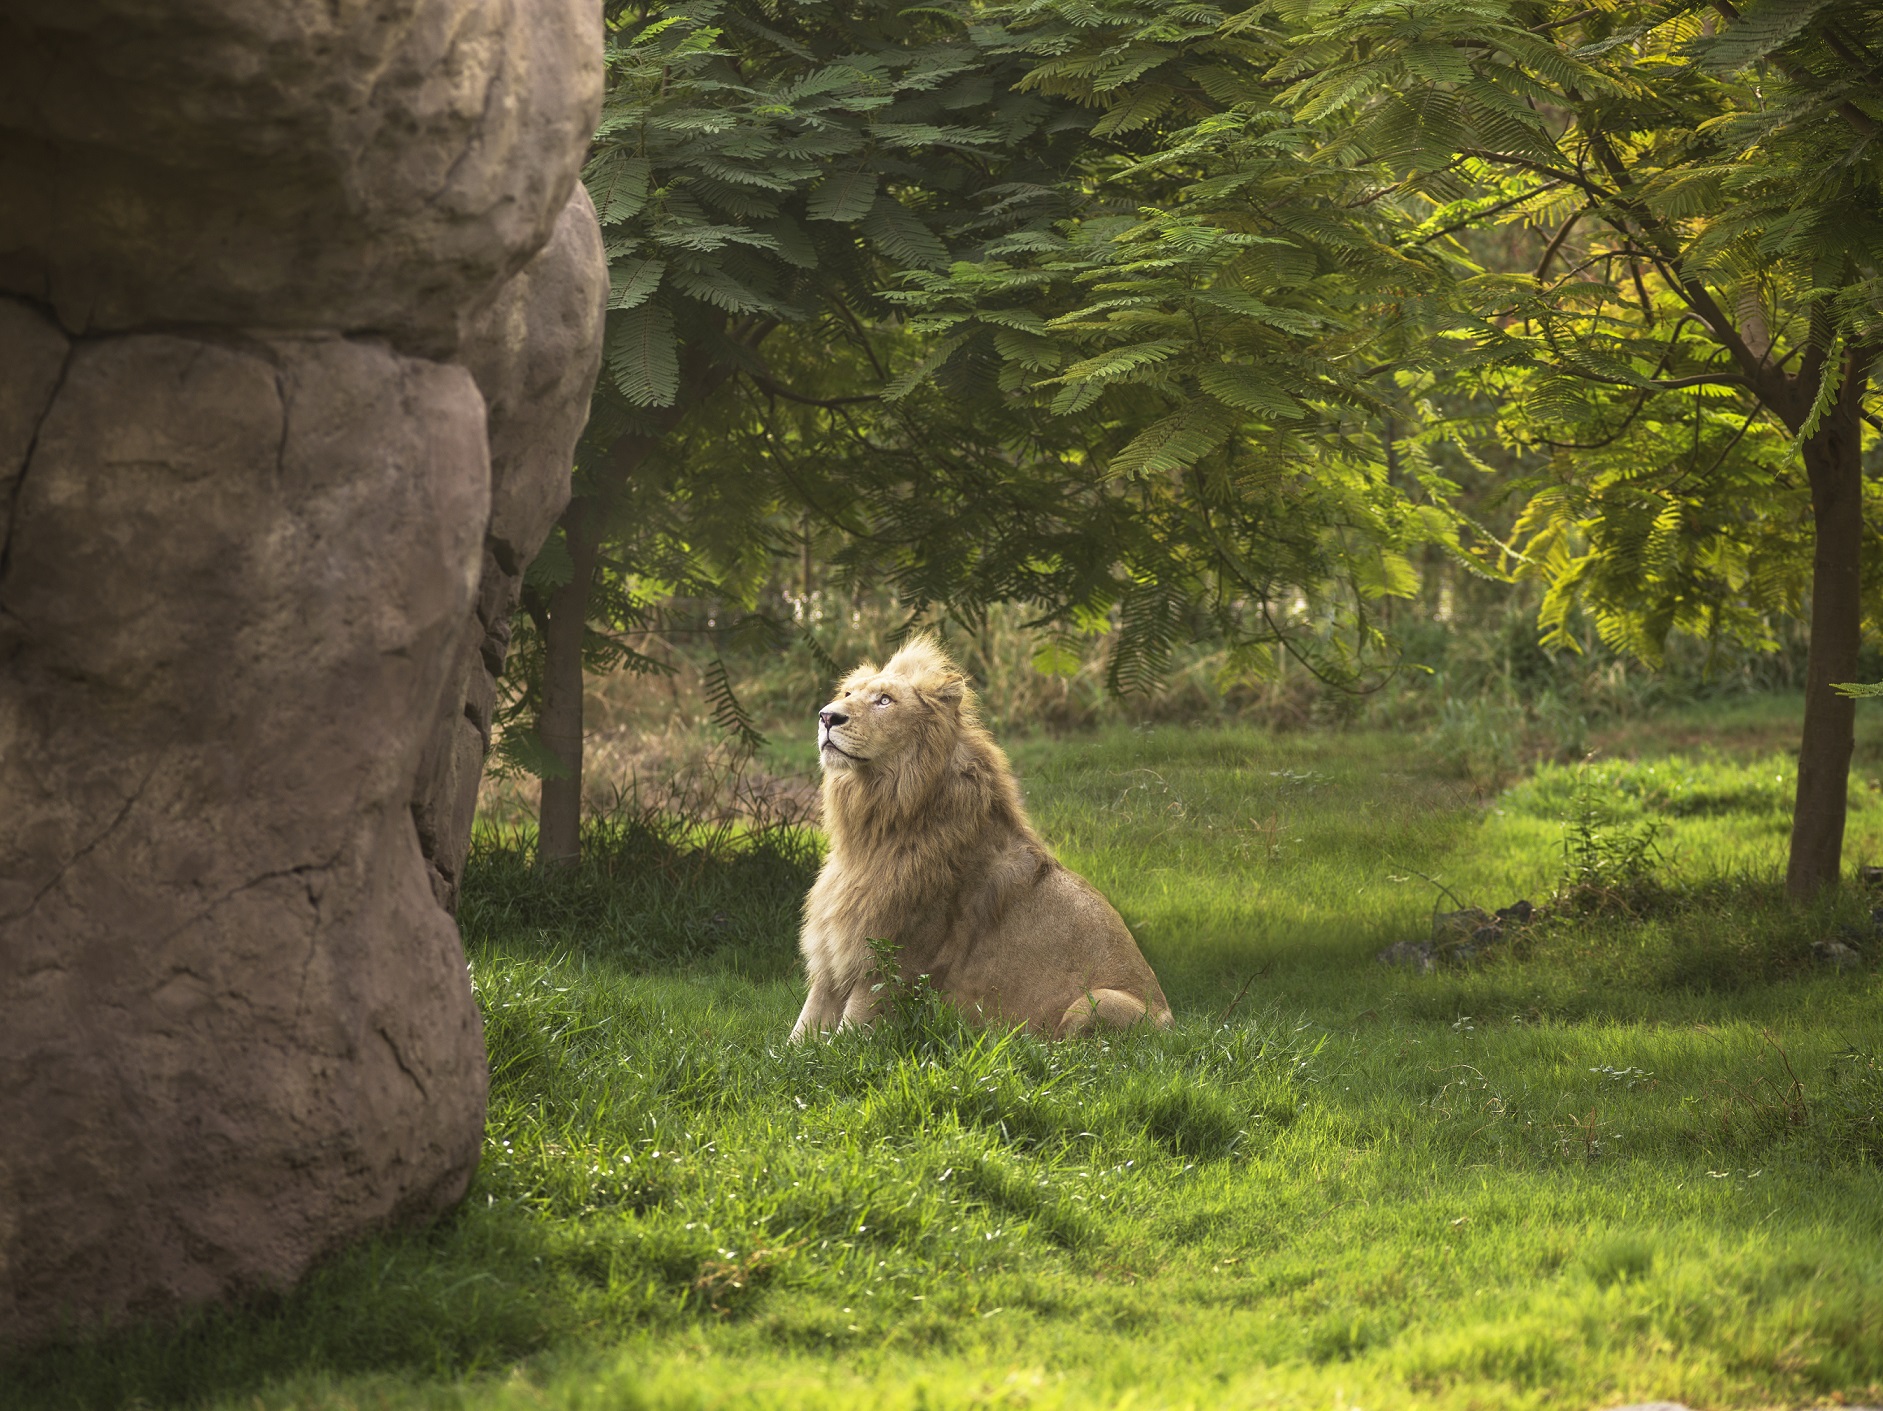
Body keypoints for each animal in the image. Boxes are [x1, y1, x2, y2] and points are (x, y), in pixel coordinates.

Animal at [787, 632, 1167, 1039]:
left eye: (885, 700)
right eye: (845, 694)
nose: (827, 716)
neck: (872, 829)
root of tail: (1172, 1022)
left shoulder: (891, 963)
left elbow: (846, 1041)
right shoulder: (833, 957)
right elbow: (796, 1039)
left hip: (1094, 1002)